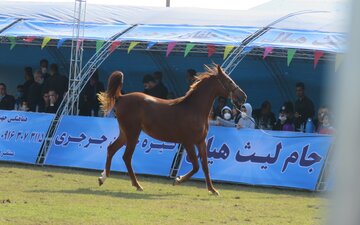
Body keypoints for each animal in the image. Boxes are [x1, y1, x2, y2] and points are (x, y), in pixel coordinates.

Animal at [97, 65, 246, 195]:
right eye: (229, 80)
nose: (243, 96)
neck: (194, 109)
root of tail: (121, 97)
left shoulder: (201, 142)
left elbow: (205, 166)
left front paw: (213, 190)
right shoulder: (188, 142)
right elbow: (196, 166)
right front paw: (178, 180)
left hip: (125, 133)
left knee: (111, 149)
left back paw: (102, 178)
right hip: (132, 133)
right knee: (126, 157)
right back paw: (137, 185)